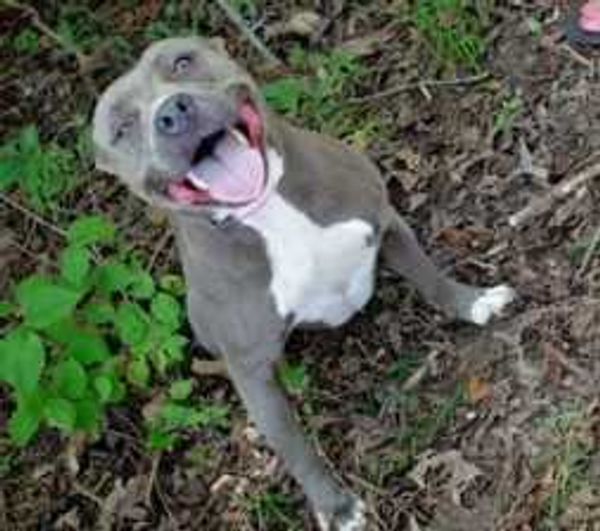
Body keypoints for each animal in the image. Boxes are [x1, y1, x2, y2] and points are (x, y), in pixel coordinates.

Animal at [95, 38, 516, 531]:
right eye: (121, 128)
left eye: (182, 61)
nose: (172, 114)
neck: (267, 208)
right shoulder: (252, 372)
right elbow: (293, 447)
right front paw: (335, 506)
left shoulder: (385, 221)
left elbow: (430, 277)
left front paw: (473, 301)